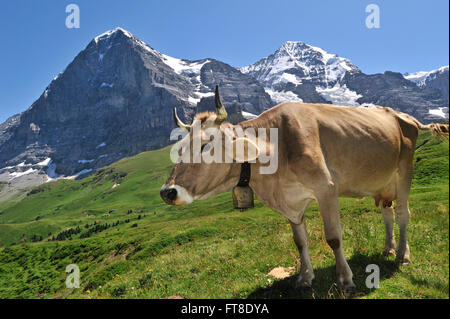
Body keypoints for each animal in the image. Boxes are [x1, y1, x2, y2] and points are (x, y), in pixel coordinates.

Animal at [160, 86, 448, 294]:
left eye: (205, 145)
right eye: (180, 146)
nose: (167, 192)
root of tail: (405, 117)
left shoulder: (326, 189)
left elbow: (333, 238)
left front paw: (345, 280)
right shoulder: (291, 201)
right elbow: (300, 241)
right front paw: (305, 278)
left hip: (405, 169)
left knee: (403, 214)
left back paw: (402, 255)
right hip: (383, 181)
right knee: (387, 212)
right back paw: (388, 248)